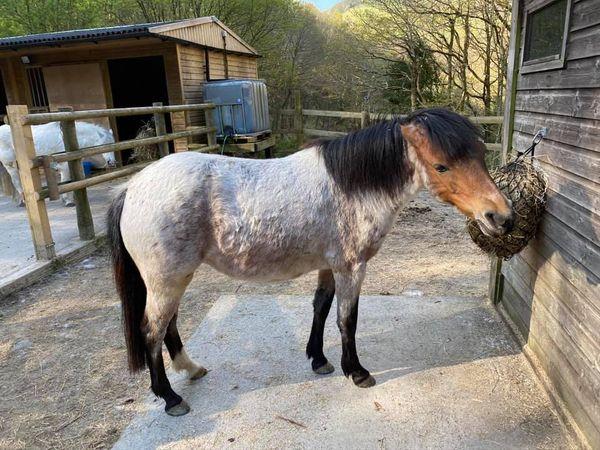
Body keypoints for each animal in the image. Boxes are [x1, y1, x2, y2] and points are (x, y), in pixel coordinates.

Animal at [106, 108, 510, 414]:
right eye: (441, 166)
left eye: (479, 153)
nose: (501, 217)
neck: (352, 188)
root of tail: (132, 187)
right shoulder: (352, 267)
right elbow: (347, 319)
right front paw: (356, 371)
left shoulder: (329, 265)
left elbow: (320, 307)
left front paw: (318, 360)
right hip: (167, 278)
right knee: (151, 330)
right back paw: (170, 397)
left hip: (175, 277)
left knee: (168, 325)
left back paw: (190, 369)